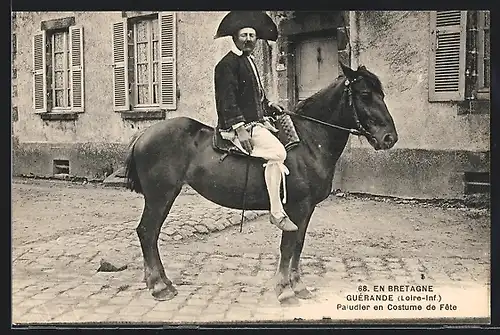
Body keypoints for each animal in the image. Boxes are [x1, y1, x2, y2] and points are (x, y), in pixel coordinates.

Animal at [123, 61, 396, 304]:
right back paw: (158, 287)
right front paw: (285, 290)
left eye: (382, 94)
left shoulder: (307, 210)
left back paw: (163, 283)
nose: (389, 137)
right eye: (365, 94)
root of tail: (144, 134)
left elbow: (298, 245)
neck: (309, 139)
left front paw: (298, 286)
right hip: (161, 196)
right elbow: (288, 246)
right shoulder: (297, 207)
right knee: (147, 232)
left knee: (151, 234)